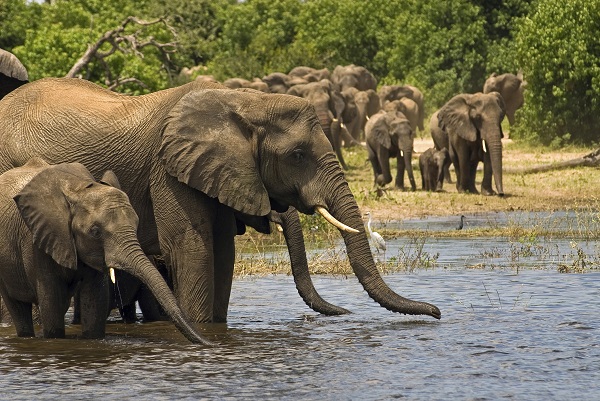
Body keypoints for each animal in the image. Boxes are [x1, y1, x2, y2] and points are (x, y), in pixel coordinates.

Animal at [0, 77, 440, 322]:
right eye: (298, 155)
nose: (437, 313)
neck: (244, 101)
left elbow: (223, 252)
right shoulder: (168, 167)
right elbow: (192, 247)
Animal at [0, 158, 210, 342]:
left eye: (136, 225)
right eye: (95, 232)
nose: (208, 342)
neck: (79, 189)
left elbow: (95, 302)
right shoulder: (38, 239)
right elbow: (51, 305)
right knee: (18, 309)